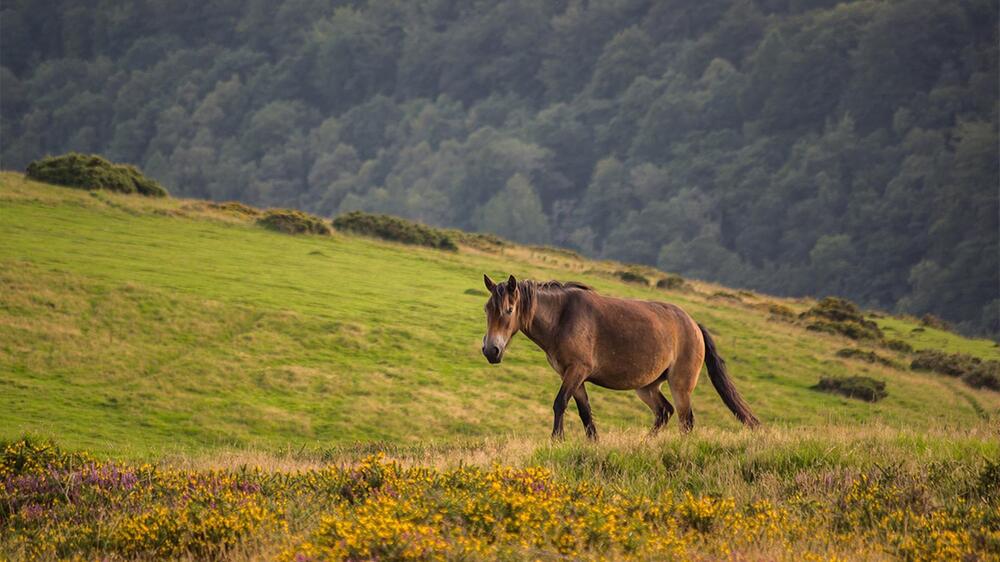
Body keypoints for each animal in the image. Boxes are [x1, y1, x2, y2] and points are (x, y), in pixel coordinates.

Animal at [482, 274, 756, 440]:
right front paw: (593, 443)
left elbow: (560, 403)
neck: (562, 318)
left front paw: (556, 440)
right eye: (487, 309)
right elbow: (585, 413)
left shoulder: (576, 371)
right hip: (647, 387)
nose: (491, 350)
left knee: (685, 419)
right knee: (664, 412)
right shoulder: (573, 376)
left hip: (680, 385)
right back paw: (646, 443)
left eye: (509, 310)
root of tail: (694, 326)